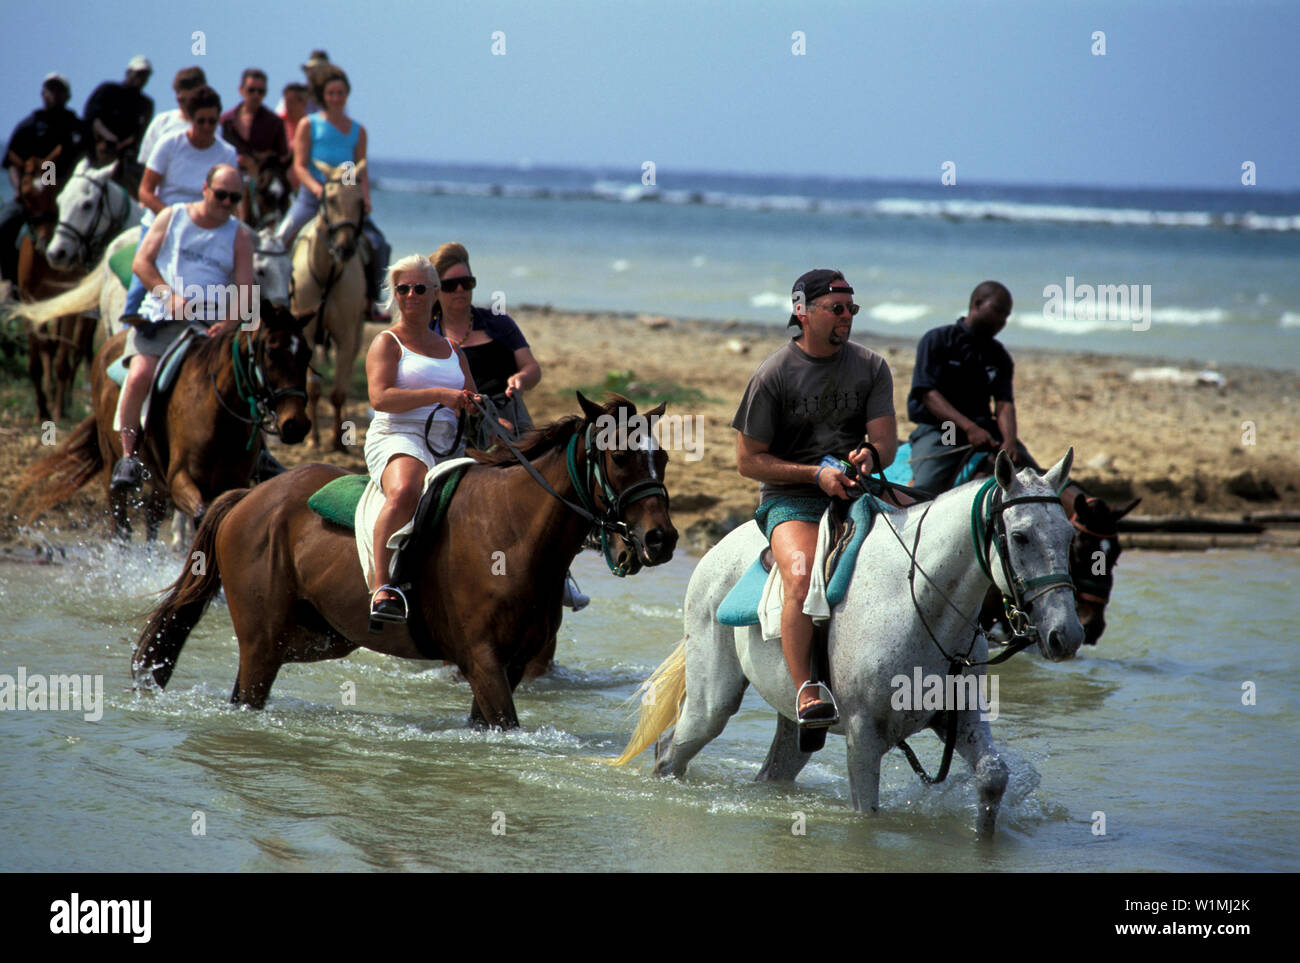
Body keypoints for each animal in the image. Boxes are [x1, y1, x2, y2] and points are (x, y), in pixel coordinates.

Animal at [8, 147, 97, 421]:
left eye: (54, 192)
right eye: (25, 195)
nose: (47, 244)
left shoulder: (69, 306)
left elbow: (63, 359)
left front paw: (57, 410)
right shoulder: (29, 303)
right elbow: (37, 360)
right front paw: (42, 409)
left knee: (77, 350)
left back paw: (65, 399)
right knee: (50, 346)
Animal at [16, 300, 313, 538]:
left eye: (307, 354)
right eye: (272, 351)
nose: (296, 424)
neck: (219, 414)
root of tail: (109, 345)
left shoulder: (233, 481)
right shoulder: (180, 478)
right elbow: (201, 514)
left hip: (158, 479)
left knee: (151, 518)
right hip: (113, 464)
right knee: (121, 524)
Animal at [131, 395, 681, 722]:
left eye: (663, 457)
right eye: (619, 456)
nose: (661, 540)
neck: (514, 533)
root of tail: (248, 497)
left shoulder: (512, 666)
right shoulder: (482, 661)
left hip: (318, 636)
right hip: (263, 642)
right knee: (249, 691)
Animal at [292, 160, 369, 449]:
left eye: (360, 201)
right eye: (332, 199)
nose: (345, 248)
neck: (327, 273)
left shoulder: (345, 335)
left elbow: (337, 391)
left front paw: (338, 439)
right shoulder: (305, 332)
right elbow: (313, 388)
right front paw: (313, 438)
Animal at [613, 449, 1081, 831]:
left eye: (1070, 536)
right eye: (1019, 536)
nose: (1067, 635)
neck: (918, 601)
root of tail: (716, 550)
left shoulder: (960, 718)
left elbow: (993, 778)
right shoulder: (863, 736)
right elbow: (866, 815)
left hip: (797, 722)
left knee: (771, 770)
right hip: (713, 701)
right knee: (671, 750)